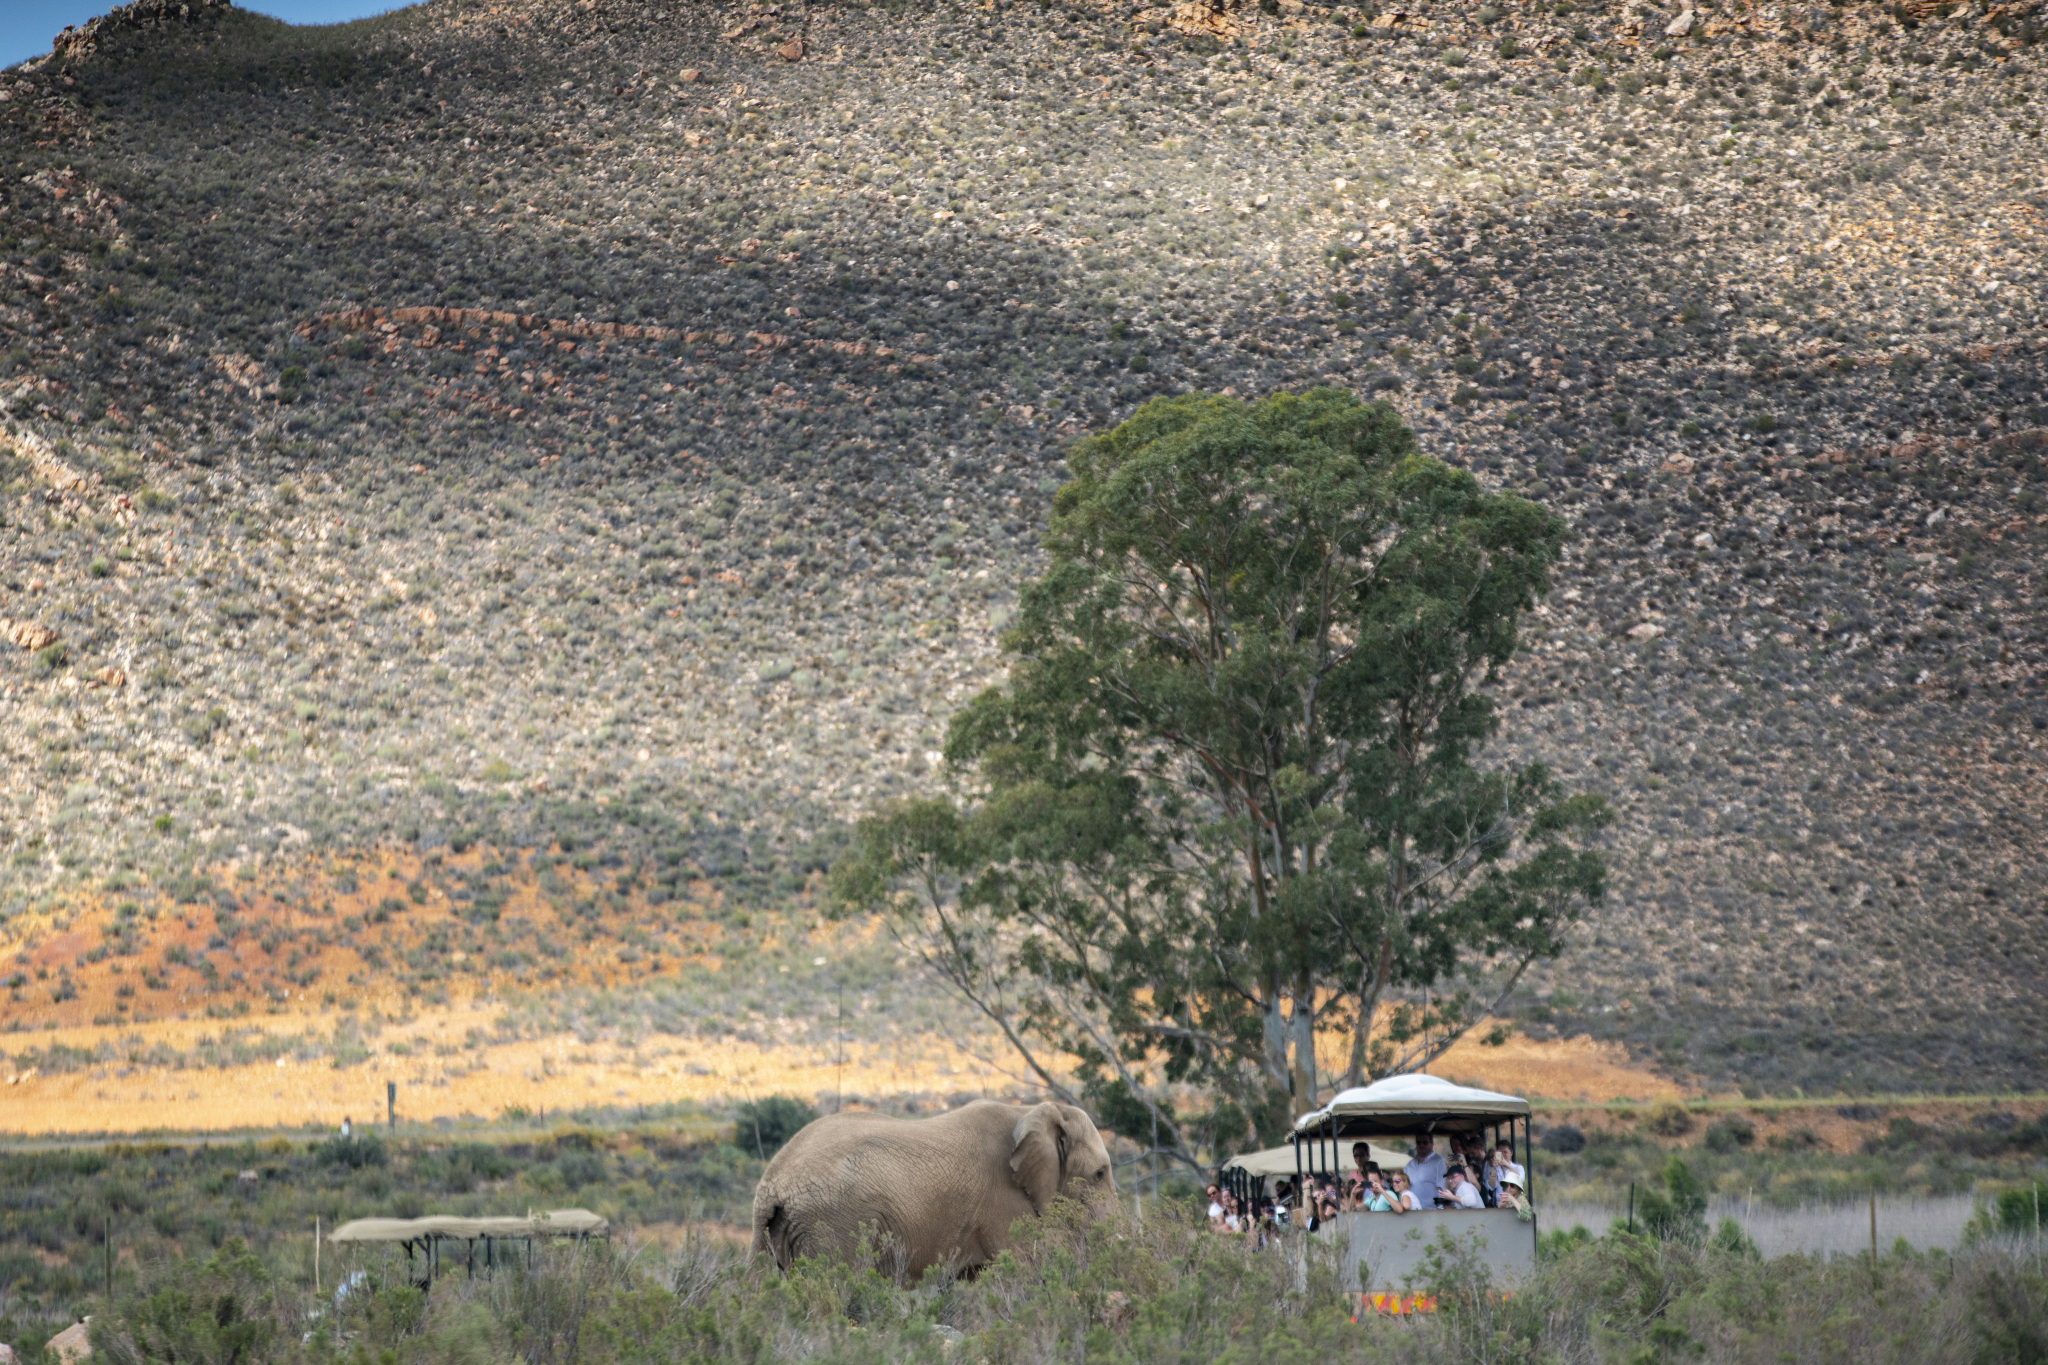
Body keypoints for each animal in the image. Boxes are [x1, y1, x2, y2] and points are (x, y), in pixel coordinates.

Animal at [753, 1096, 1122, 1285]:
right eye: (1099, 1174)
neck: (1030, 1110)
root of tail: (770, 1182)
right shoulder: (1003, 1202)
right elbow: (1025, 1269)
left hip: (793, 1227)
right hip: (832, 1222)